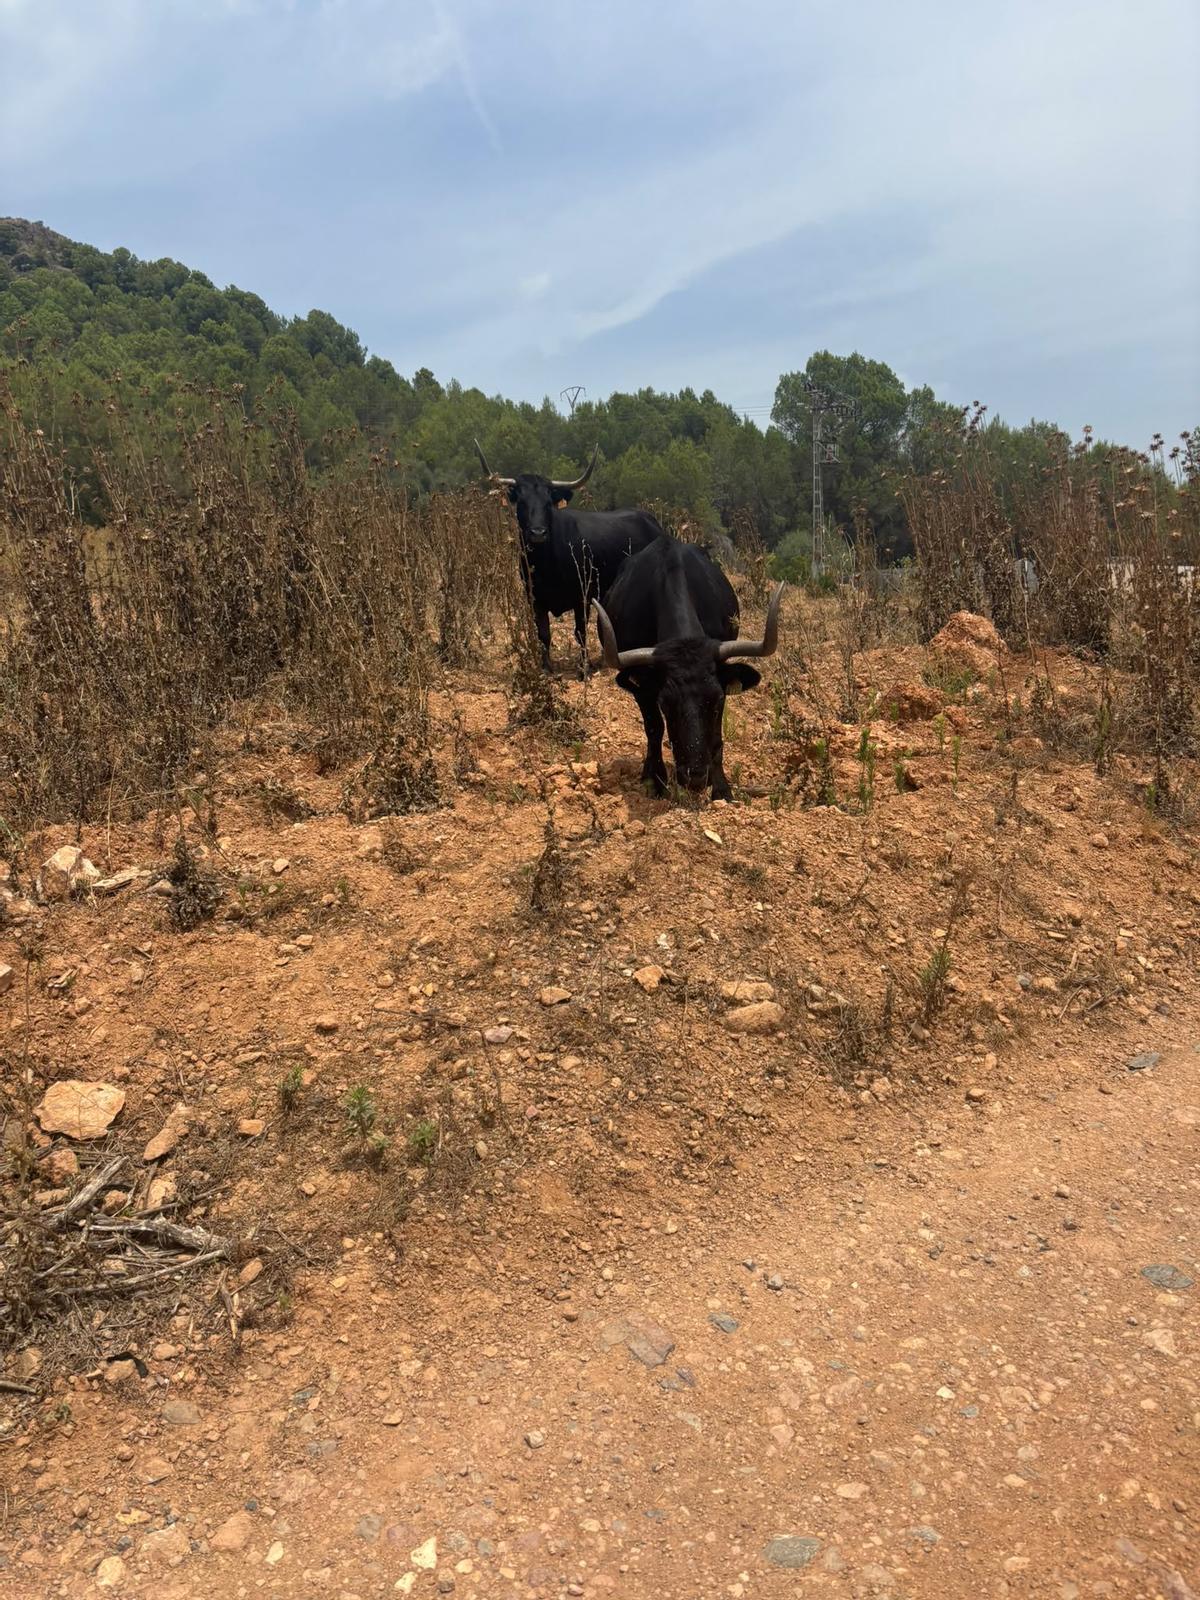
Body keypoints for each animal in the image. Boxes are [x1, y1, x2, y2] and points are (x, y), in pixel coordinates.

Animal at [474, 441, 664, 673]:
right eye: (521, 502)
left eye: (548, 502)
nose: (538, 533)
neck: (546, 562)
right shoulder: (535, 599)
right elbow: (543, 634)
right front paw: (546, 668)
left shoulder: (582, 596)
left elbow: (580, 632)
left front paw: (584, 669)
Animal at [593, 539, 783, 800]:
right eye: (665, 703)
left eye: (717, 700)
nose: (695, 778)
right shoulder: (644, 689)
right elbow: (654, 727)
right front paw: (655, 781)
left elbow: (717, 736)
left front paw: (721, 788)